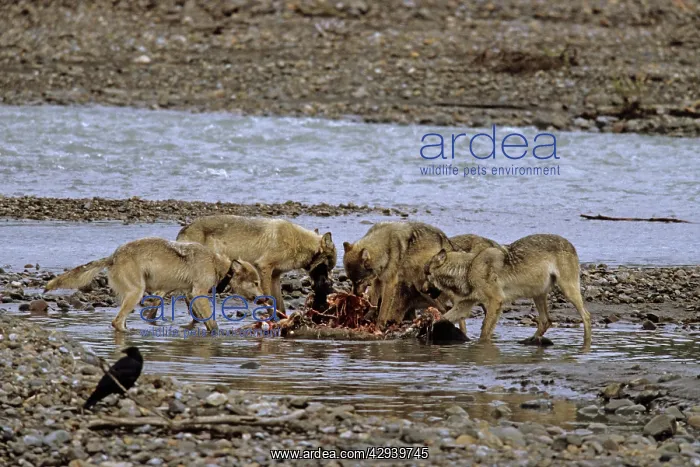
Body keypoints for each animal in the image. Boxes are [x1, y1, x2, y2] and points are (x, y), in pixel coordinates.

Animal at [44, 237, 263, 332]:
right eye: (256, 282)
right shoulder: (199, 292)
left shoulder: (190, 294)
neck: (217, 264)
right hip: (136, 293)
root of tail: (113, 256)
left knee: (119, 320)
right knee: (117, 322)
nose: (262, 299)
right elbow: (213, 322)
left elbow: (201, 319)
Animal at [176, 215, 336, 314]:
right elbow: (269, 299)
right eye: (327, 267)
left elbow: (280, 305)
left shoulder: (275, 277)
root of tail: (183, 229)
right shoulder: (264, 268)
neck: (299, 243)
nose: (329, 284)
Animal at [424, 234, 591, 345]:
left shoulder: (495, 301)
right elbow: (444, 318)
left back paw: (586, 344)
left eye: (425, 275)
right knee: (546, 321)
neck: (468, 268)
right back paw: (530, 341)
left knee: (586, 316)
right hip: (538, 295)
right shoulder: (464, 305)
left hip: (567, 291)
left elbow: (485, 331)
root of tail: (570, 244)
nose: (423, 290)